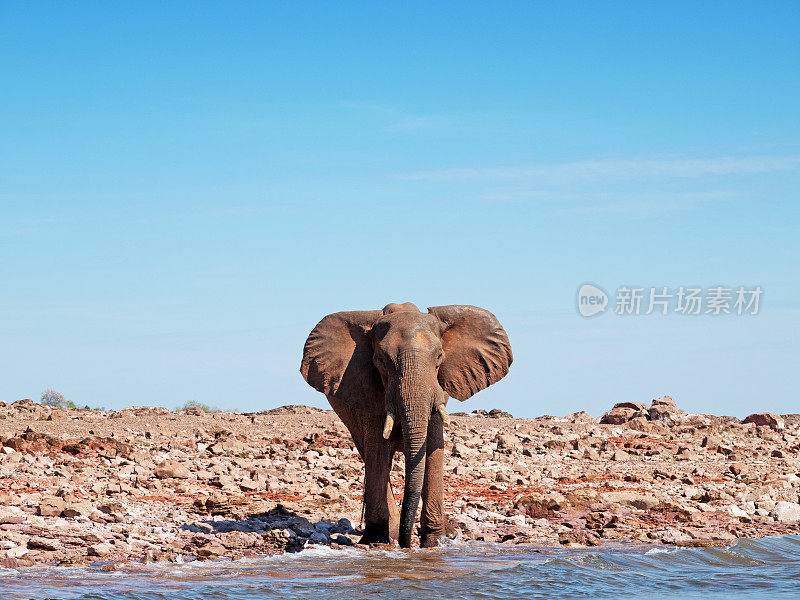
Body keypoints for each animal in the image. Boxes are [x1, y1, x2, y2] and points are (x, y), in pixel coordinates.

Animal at [300, 302, 512, 548]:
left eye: (439, 357)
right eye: (380, 360)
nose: (406, 544)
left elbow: (433, 449)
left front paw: (434, 542)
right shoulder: (367, 391)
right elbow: (377, 451)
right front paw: (376, 539)